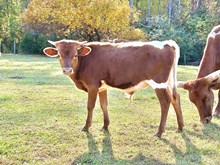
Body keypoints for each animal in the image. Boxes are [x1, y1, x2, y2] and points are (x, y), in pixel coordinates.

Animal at [43, 39, 184, 137]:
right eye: (59, 55)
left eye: (75, 55)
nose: (67, 70)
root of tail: (167, 43)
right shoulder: (102, 87)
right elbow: (104, 105)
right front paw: (105, 126)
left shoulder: (92, 85)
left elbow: (90, 106)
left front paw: (86, 127)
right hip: (168, 82)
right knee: (175, 98)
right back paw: (180, 127)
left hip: (159, 83)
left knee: (165, 103)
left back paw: (160, 132)